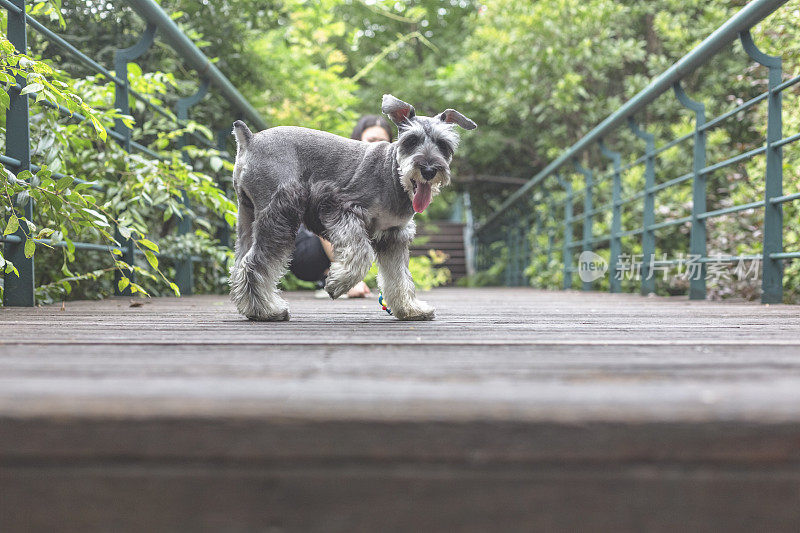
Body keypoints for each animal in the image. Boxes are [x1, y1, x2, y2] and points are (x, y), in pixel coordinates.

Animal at [227, 93, 476, 320]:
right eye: (411, 140)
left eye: (443, 144)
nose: (429, 169)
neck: (392, 174)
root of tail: (250, 140)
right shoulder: (341, 208)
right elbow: (362, 255)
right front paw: (337, 283)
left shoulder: (393, 235)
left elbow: (399, 276)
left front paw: (410, 309)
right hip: (279, 211)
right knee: (254, 263)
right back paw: (267, 310)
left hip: (247, 215)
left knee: (240, 262)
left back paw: (252, 307)